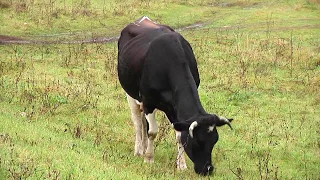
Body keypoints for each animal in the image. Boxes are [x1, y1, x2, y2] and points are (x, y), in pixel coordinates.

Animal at [117, 16, 232, 175]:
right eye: (197, 141)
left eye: (214, 141)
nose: (208, 169)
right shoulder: (148, 102)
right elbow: (152, 132)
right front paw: (149, 159)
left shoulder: (174, 108)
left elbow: (178, 135)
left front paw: (181, 165)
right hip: (131, 94)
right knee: (138, 122)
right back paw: (140, 150)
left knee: (143, 122)